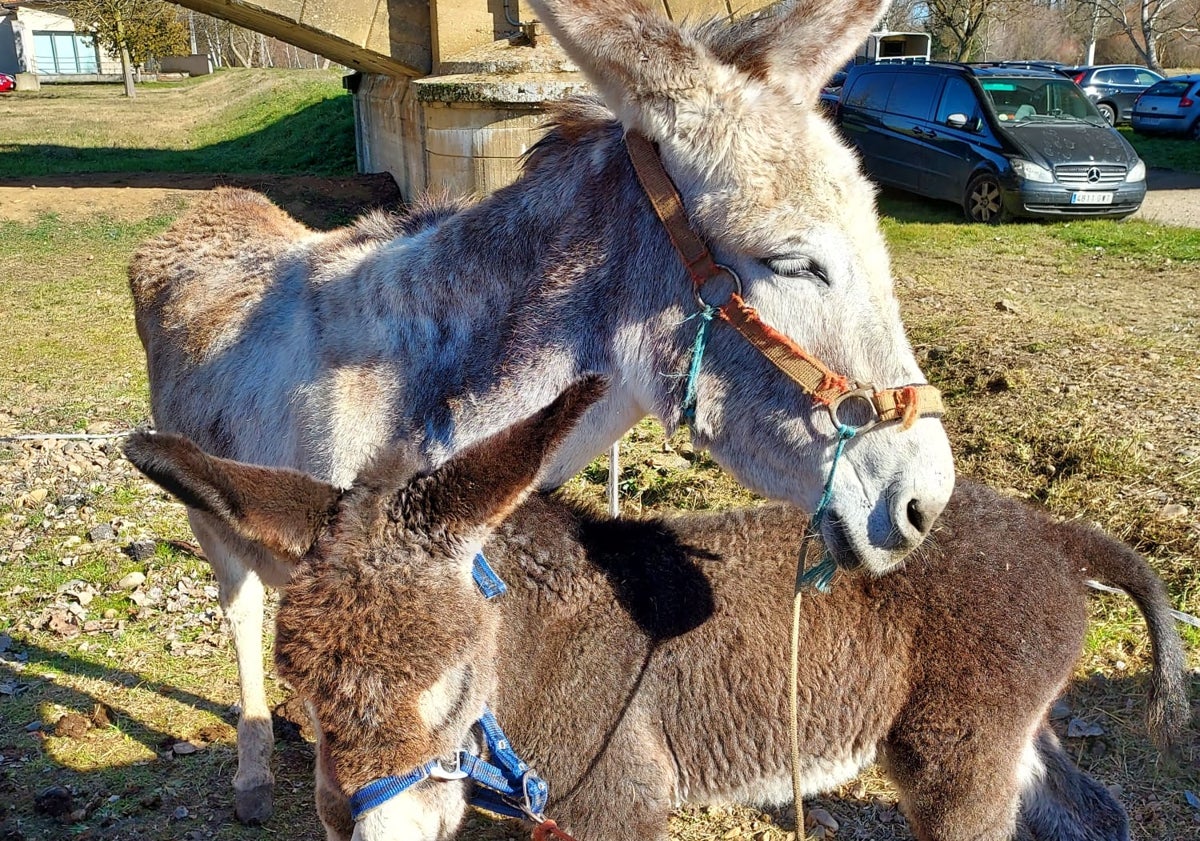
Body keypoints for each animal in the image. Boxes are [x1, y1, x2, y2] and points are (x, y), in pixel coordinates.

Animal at [126, 403, 1185, 835]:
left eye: (455, 677)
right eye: (299, 687)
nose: (375, 835)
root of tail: (1052, 531)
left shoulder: (616, 803)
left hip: (953, 755)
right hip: (1009, 732)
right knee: (1094, 812)